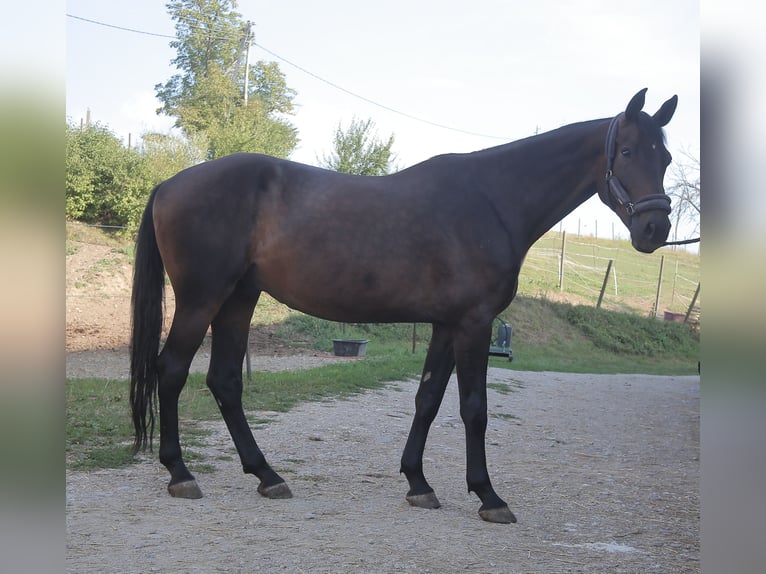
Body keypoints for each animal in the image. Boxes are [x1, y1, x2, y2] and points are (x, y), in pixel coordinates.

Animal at [130, 89, 678, 524]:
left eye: (666, 158)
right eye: (627, 150)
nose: (655, 229)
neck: (493, 199)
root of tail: (168, 184)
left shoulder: (446, 325)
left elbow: (428, 399)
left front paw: (418, 483)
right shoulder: (474, 324)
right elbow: (474, 408)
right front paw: (488, 496)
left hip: (238, 299)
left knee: (224, 380)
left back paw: (267, 475)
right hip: (202, 299)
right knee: (171, 370)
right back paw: (181, 474)